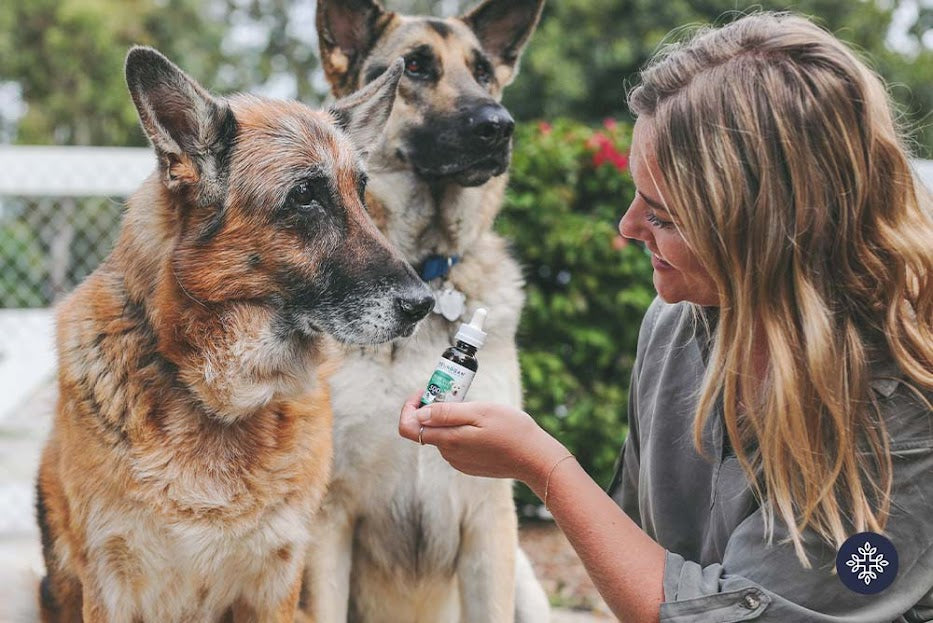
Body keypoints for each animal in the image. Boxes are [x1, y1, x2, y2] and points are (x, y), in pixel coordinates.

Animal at [33, 46, 434, 620]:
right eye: (306, 196)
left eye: (361, 191)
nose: (425, 304)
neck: (216, 396)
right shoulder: (111, 586)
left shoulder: (277, 584)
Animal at [306, 2, 548, 620]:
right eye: (415, 66)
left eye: (483, 71)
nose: (499, 126)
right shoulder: (327, 521)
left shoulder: (489, 521)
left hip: (526, 581)